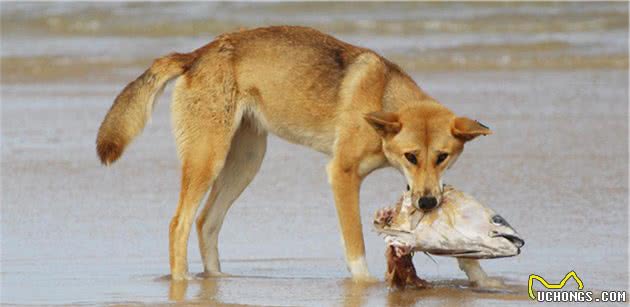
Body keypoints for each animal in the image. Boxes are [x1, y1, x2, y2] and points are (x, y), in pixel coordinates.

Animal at [97, 26, 494, 282]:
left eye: (442, 157)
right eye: (411, 156)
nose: (427, 203)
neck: (381, 97)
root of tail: (195, 55)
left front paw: (481, 276)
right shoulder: (342, 174)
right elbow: (356, 248)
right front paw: (366, 286)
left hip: (246, 162)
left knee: (206, 221)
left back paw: (218, 279)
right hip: (208, 160)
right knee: (178, 223)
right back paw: (181, 281)